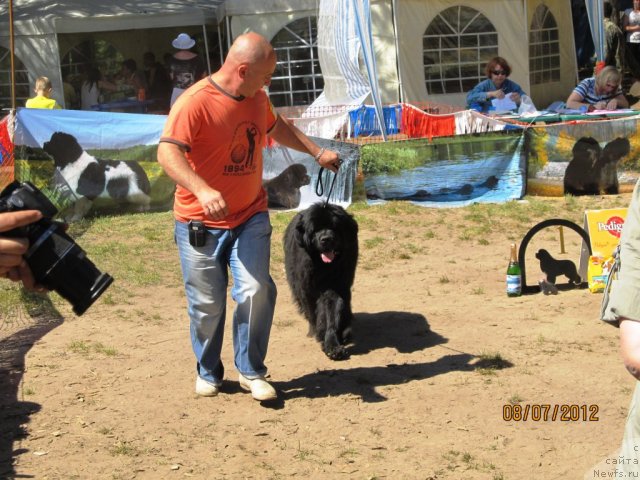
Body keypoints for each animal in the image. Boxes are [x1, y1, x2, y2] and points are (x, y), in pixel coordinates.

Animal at [282, 202, 358, 360]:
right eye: (315, 230)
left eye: (335, 227)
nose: (326, 239)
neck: (324, 266)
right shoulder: (306, 288)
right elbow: (313, 312)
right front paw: (319, 333)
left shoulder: (337, 285)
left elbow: (332, 309)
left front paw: (333, 345)